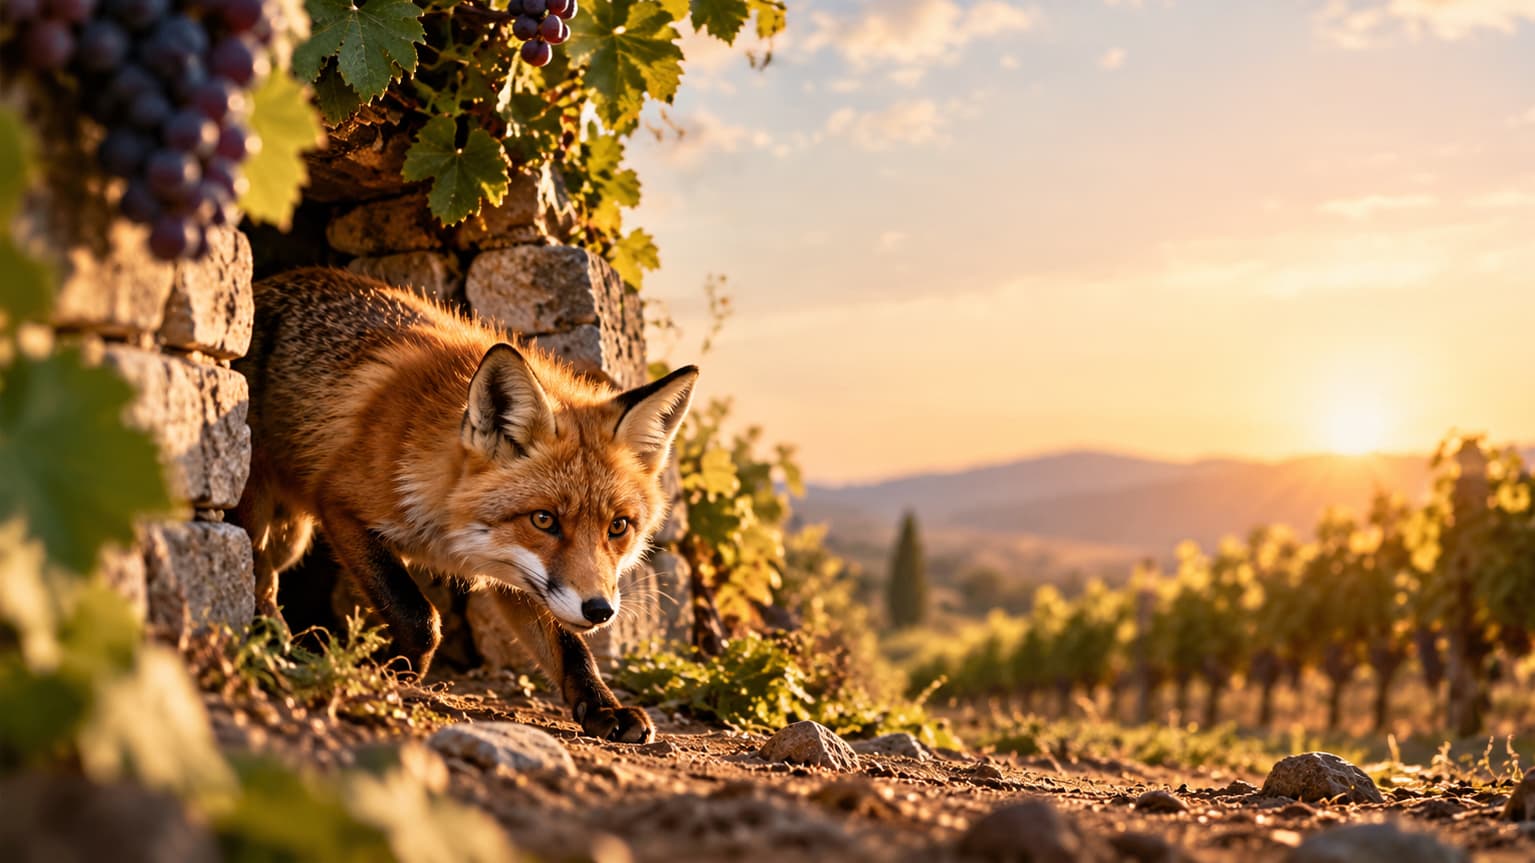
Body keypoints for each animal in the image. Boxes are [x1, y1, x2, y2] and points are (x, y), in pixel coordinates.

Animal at [231, 267, 697, 743]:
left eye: (618, 527)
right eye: (544, 520)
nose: (600, 610)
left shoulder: (518, 574)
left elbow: (571, 648)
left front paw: (604, 707)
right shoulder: (342, 507)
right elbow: (419, 616)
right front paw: (381, 670)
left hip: (290, 536)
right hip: (262, 514)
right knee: (260, 576)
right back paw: (274, 645)